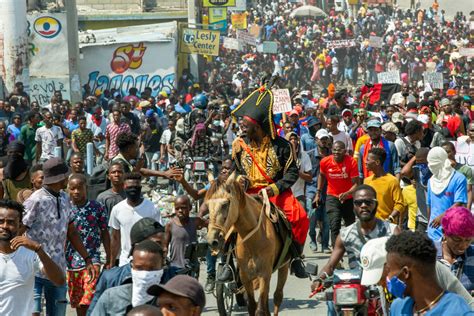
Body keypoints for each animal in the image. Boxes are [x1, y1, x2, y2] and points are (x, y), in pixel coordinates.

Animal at [206, 175, 288, 316]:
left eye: (225, 204)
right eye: (207, 205)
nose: (212, 240)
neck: (254, 240)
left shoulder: (264, 273)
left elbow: (259, 309)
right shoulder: (245, 276)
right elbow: (252, 306)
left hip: (284, 265)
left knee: (278, 295)